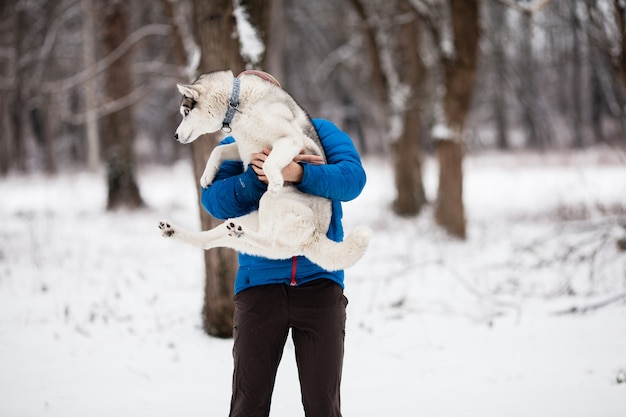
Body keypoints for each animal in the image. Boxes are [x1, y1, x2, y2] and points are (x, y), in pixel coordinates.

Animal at [157, 70, 370, 272]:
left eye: (185, 112)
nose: (175, 136)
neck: (237, 104)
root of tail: (312, 237)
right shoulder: (243, 148)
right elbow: (218, 151)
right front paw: (207, 175)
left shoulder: (290, 140)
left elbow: (268, 163)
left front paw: (274, 180)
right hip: (245, 221)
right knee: (208, 242)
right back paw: (174, 230)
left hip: (268, 202)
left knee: (267, 238)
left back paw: (240, 230)